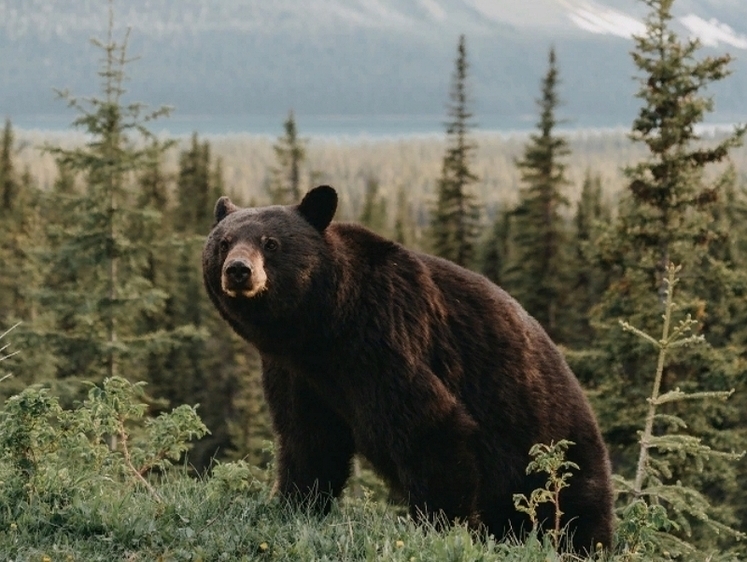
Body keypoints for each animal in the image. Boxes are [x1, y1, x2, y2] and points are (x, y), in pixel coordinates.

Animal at [205, 186, 612, 548]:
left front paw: (441, 526)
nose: (238, 271)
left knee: (576, 512)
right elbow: (308, 440)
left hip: (552, 451)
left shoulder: (385, 339)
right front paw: (294, 505)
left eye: (270, 243)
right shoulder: (296, 373)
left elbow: (431, 428)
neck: (323, 328)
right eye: (223, 243)